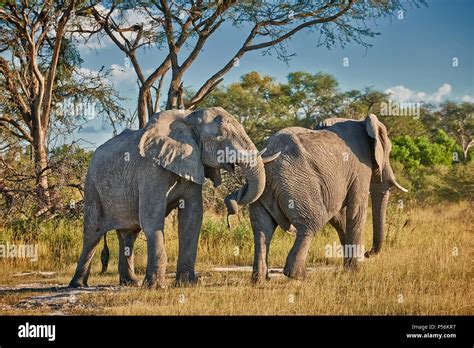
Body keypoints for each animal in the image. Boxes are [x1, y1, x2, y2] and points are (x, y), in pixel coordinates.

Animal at [68, 107, 274, 290]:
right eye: (222, 136)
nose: (232, 202)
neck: (188, 118)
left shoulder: (192, 164)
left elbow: (192, 217)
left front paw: (188, 284)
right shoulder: (151, 169)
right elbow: (152, 218)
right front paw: (157, 287)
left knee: (129, 234)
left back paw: (130, 283)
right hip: (92, 185)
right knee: (92, 233)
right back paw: (78, 285)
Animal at [226, 114, 408, 282]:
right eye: (389, 151)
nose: (368, 253)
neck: (361, 122)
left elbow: (338, 216)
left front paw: (348, 268)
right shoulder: (361, 168)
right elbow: (356, 211)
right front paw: (355, 271)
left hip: (263, 193)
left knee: (262, 229)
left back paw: (260, 279)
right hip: (297, 184)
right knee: (312, 221)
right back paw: (298, 275)